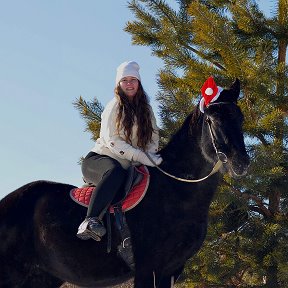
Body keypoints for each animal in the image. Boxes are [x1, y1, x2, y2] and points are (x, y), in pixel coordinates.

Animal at [0, 79, 250, 288]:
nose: (241, 163)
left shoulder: (171, 270)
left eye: (239, 117)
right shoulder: (149, 269)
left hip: (41, 277)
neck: (176, 191)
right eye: (212, 119)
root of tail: (7, 202)